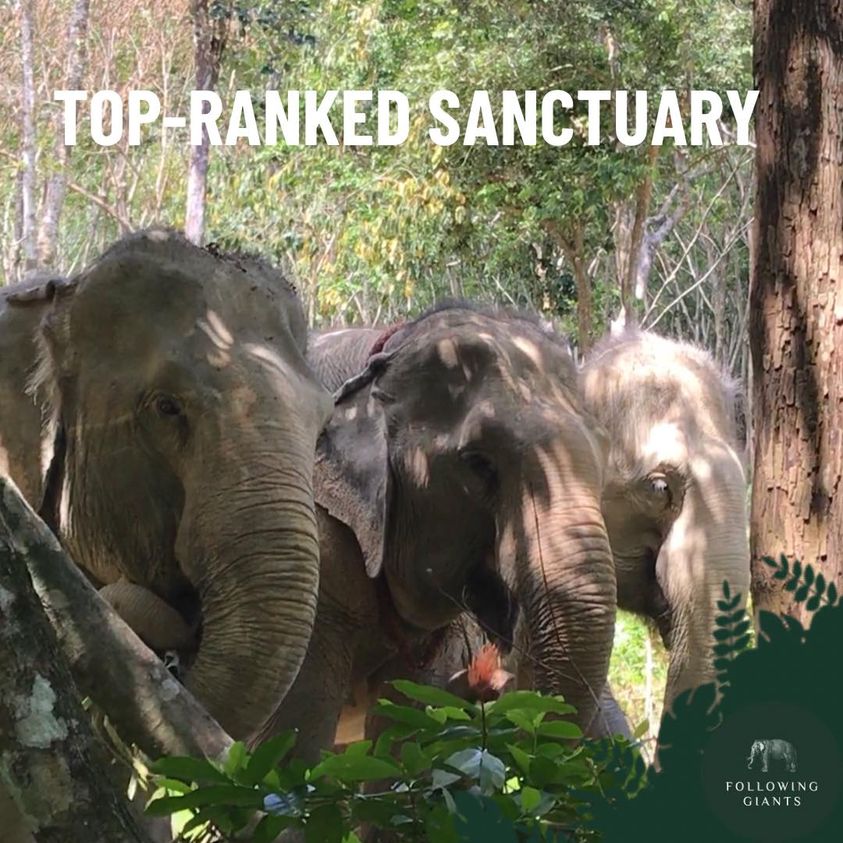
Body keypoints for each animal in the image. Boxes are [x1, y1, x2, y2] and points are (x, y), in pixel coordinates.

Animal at [253, 304, 617, 760]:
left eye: (604, 455)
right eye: (479, 463)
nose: (490, 680)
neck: (386, 351)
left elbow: (407, 727)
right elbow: (292, 737)